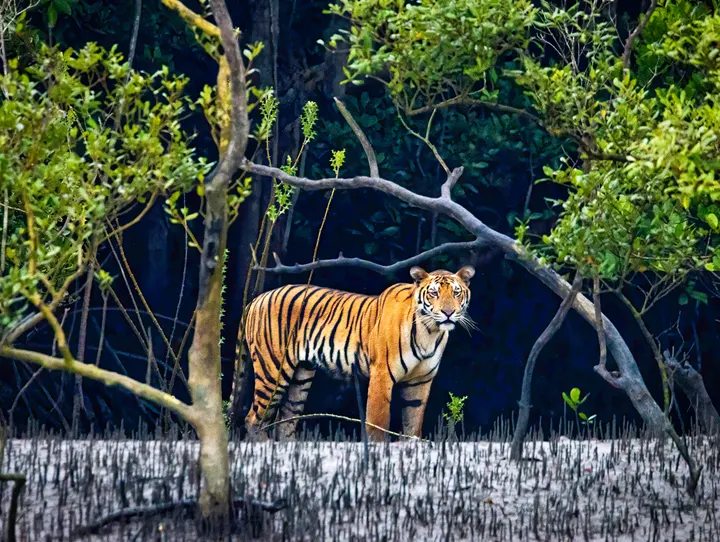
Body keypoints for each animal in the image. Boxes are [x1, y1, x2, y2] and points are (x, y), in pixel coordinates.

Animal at [242, 265, 475, 441]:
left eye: (456, 292)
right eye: (434, 293)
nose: (448, 312)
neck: (430, 332)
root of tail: (257, 299)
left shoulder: (420, 381)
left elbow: (413, 423)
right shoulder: (382, 374)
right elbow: (378, 422)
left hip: (301, 377)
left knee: (286, 419)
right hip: (273, 369)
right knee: (254, 419)